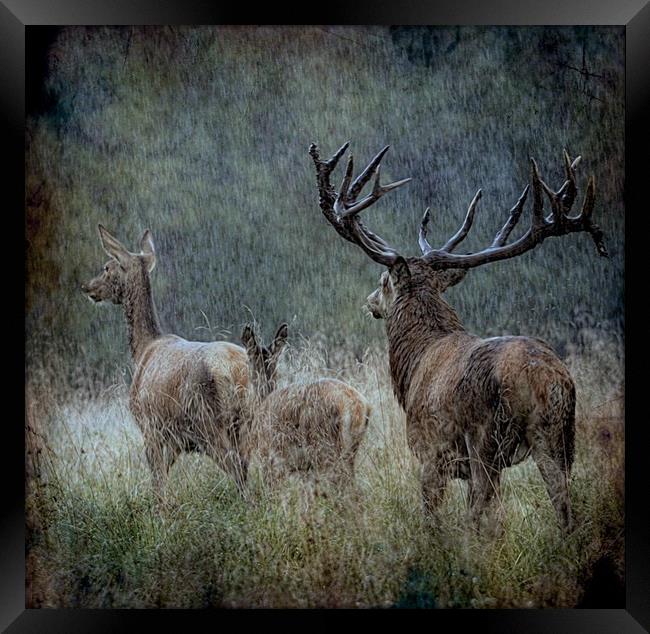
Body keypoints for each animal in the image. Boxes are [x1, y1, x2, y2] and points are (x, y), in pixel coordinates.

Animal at [82, 225, 249, 496]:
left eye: (107, 267)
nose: (86, 286)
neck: (142, 350)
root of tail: (235, 372)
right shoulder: (175, 440)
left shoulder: (148, 426)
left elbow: (158, 484)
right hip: (249, 418)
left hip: (206, 420)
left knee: (236, 466)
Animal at [312, 141, 604, 532]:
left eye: (383, 281)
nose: (370, 301)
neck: (415, 363)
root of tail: (548, 379)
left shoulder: (429, 449)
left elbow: (432, 516)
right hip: (560, 434)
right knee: (562, 502)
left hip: (484, 436)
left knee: (482, 504)